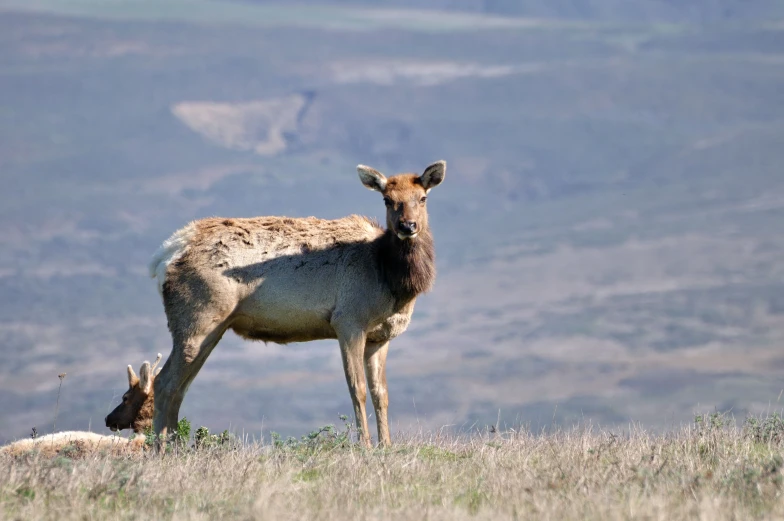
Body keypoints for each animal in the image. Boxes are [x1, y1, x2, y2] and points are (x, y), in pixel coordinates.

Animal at [149, 160, 444, 444]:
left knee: (179, 388)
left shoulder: (379, 337)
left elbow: (380, 393)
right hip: (196, 320)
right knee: (163, 384)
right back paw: (163, 450)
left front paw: (387, 447)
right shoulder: (348, 321)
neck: (390, 279)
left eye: (422, 197)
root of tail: (165, 255)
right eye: (387, 199)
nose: (408, 226)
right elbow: (357, 389)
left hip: (211, 329)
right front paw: (367, 447)